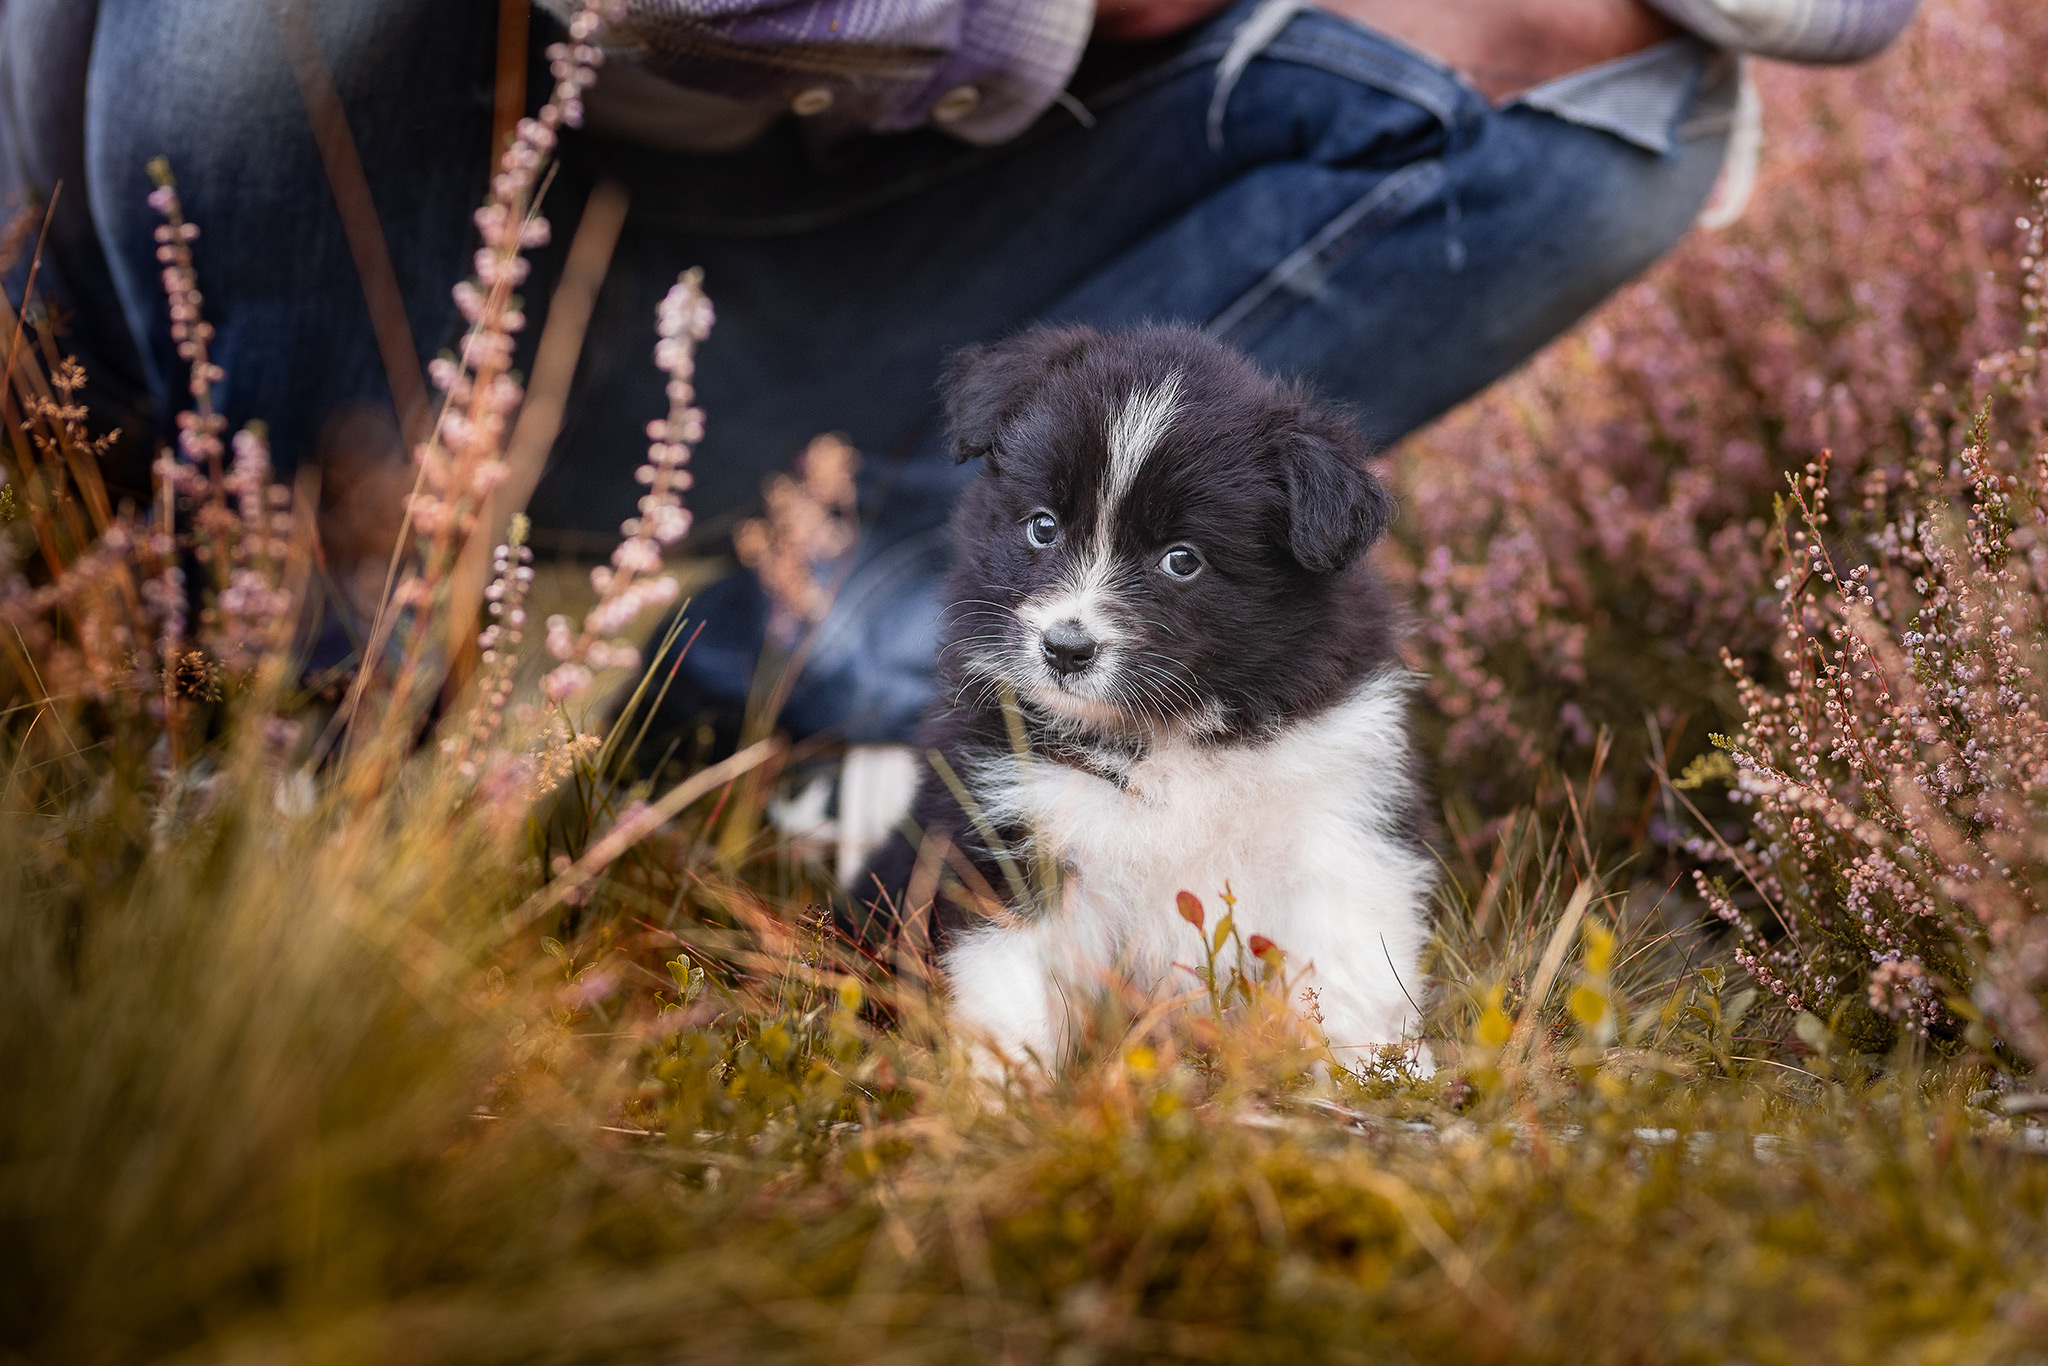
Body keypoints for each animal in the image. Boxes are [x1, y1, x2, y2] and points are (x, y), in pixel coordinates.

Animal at [856, 325, 1433, 1073]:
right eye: (1043, 526)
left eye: (1182, 559)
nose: (1065, 648)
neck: (1170, 730)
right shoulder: (1015, 830)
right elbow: (1012, 990)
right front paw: (1007, 1092)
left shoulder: (1342, 819)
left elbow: (1354, 968)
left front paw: (1379, 1078)